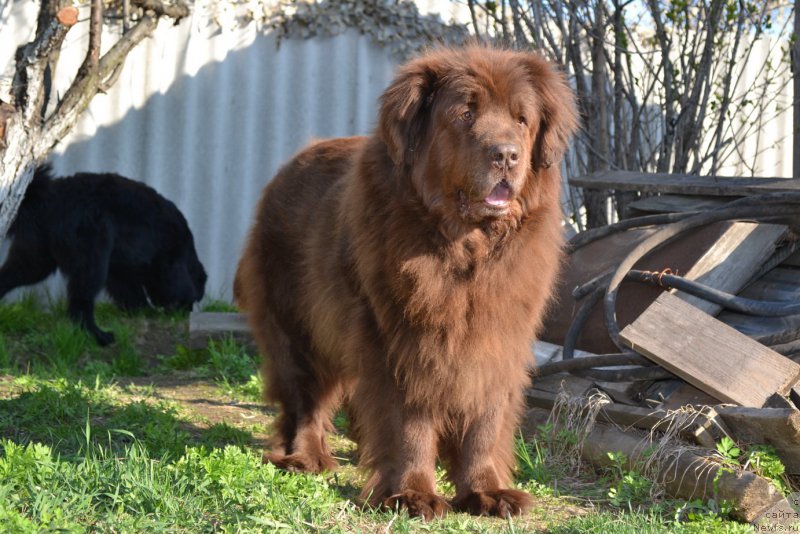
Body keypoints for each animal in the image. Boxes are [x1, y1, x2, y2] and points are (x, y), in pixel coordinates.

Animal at [0, 165, 206, 346]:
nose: (188, 312)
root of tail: (46, 198)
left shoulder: (121, 266)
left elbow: (127, 288)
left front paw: (142, 309)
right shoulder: (168, 258)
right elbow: (174, 283)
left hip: (36, 251)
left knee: (16, 272)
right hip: (90, 242)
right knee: (82, 297)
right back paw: (98, 335)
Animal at [234, 46, 580, 520]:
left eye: (522, 119)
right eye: (465, 114)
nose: (507, 155)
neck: (465, 253)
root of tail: (294, 161)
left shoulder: (498, 338)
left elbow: (485, 420)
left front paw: (487, 491)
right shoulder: (399, 339)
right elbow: (407, 421)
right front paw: (411, 494)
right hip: (297, 322)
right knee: (305, 395)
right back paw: (303, 457)